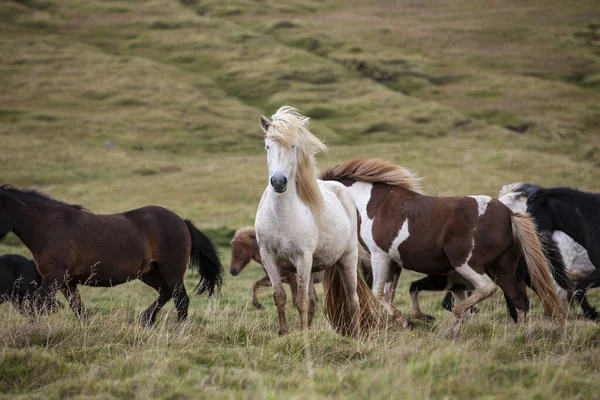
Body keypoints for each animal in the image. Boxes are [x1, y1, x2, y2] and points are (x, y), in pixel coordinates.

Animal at [0, 184, 223, 324]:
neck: (50, 226)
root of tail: (182, 221)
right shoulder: (67, 281)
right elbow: (78, 309)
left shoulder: (53, 277)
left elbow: (37, 306)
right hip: (150, 273)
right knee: (166, 293)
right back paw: (145, 320)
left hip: (172, 272)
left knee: (181, 300)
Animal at [255, 106, 378, 338]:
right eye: (267, 146)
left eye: (293, 146)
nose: (278, 182)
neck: (281, 216)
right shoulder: (269, 257)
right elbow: (280, 296)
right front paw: (283, 333)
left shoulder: (302, 257)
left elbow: (301, 300)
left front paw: (303, 336)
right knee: (313, 302)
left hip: (347, 259)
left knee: (353, 301)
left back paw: (356, 337)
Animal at [322, 159, 564, 324]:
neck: (373, 204)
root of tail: (509, 215)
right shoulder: (394, 262)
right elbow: (390, 293)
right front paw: (403, 321)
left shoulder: (379, 256)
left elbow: (378, 293)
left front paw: (407, 320)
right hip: (503, 268)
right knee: (518, 298)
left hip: (466, 263)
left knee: (487, 288)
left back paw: (457, 316)